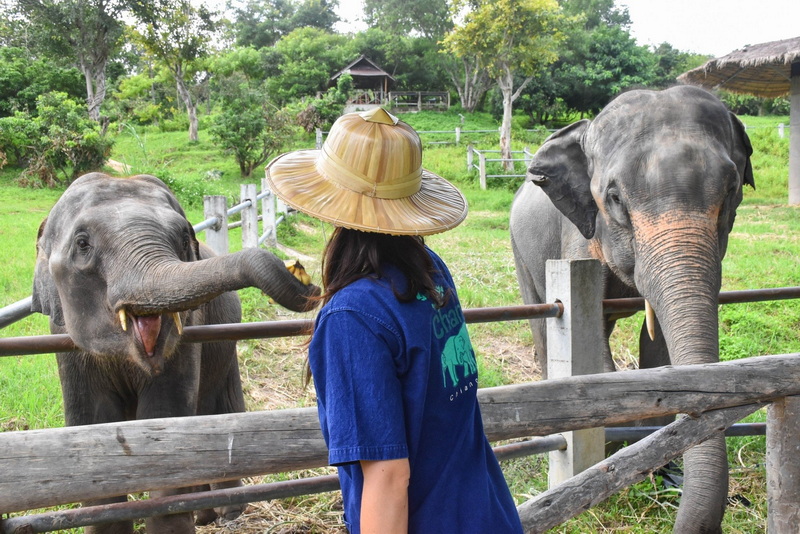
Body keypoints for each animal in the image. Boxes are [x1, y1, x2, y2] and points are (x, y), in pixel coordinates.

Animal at [32, 173, 318, 534]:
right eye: (82, 244)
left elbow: (164, 421)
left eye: (183, 237)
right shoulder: (66, 343)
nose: (309, 282)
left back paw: (225, 513)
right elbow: (91, 427)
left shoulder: (186, 336)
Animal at [510, 86, 752, 532]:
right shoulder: (577, 234)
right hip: (521, 251)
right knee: (540, 319)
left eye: (731, 192)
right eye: (615, 198)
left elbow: (658, 345)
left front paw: (665, 470)